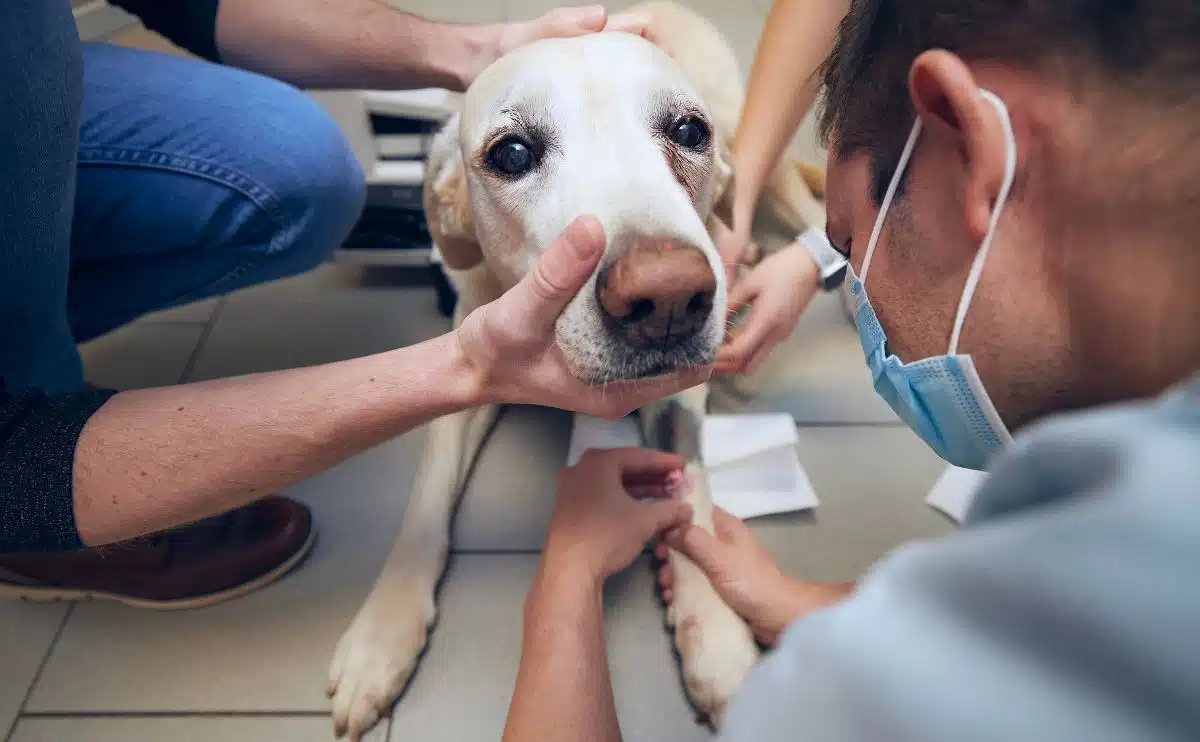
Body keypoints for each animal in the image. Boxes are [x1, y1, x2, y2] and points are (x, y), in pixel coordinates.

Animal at [333, 4, 830, 734]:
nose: (669, 300)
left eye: (688, 131)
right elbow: (427, 491)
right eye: (511, 153)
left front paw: (715, 634)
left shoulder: (682, 393)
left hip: (757, 156)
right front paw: (380, 633)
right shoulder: (472, 355)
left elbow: (692, 490)